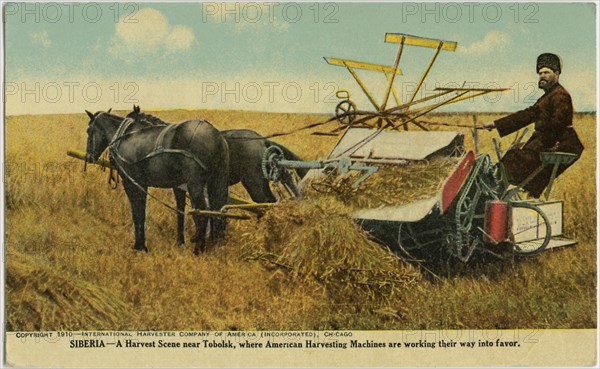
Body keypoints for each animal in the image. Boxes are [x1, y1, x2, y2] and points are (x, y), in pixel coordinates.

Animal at [82, 109, 227, 253]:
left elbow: (137, 214)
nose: (89, 156)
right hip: (213, 182)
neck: (125, 137)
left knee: (202, 213)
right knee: (215, 212)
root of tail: (217, 136)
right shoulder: (145, 184)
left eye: (89, 130)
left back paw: (198, 250)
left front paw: (139, 246)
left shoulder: (131, 183)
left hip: (195, 186)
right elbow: (145, 213)